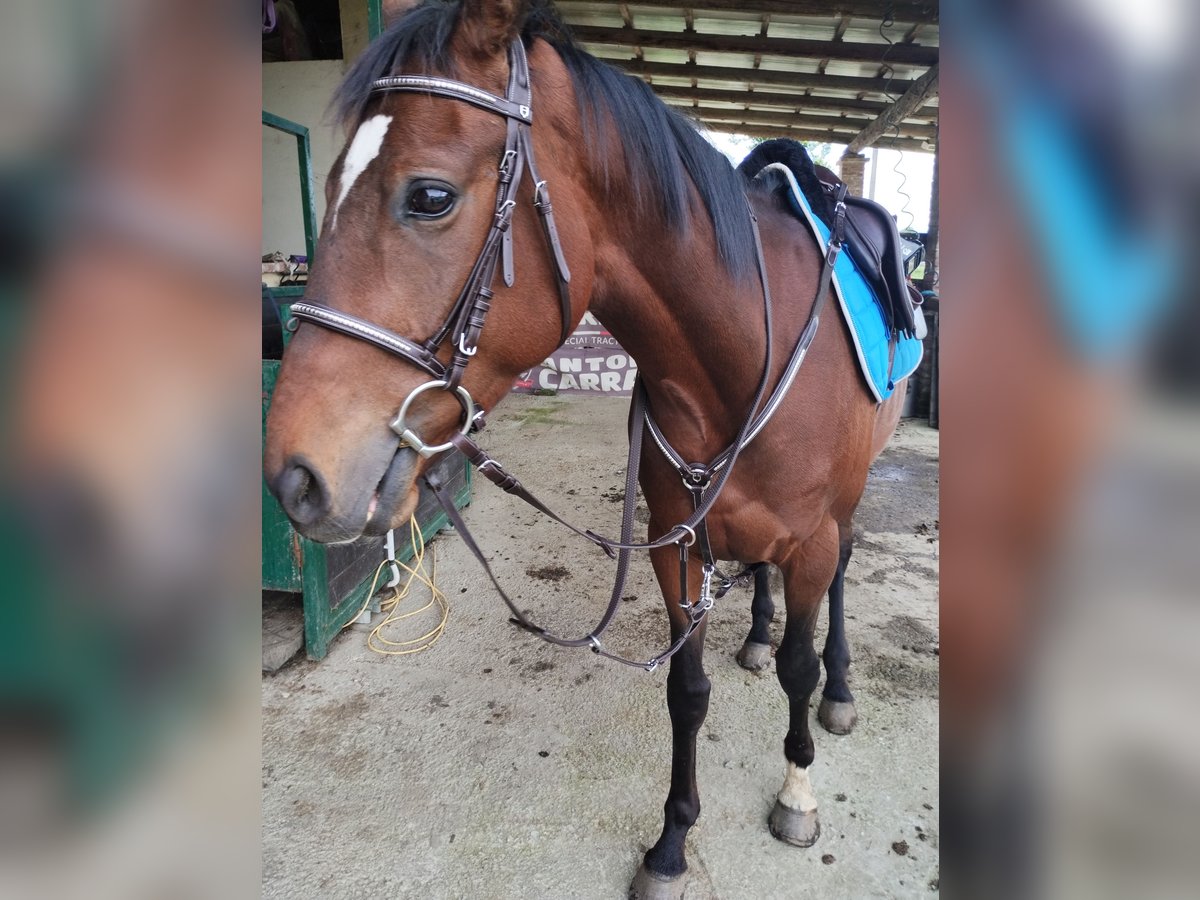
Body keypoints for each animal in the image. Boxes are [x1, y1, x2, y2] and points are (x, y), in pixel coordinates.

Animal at [262, 3, 902, 897]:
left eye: (429, 196)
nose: (295, 476)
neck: (745, 358)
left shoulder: (808, 539)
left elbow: (798, 673)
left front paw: (798, 791)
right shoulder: (679, 545)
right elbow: (687, 690)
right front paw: (672, 842)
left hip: (847, 504)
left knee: (838, 583)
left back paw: (839, 687)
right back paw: (754, 633)